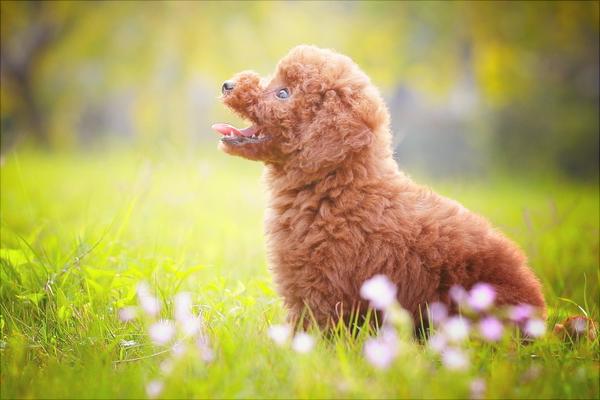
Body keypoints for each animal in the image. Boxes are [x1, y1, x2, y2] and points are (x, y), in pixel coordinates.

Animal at [213, 45, 548, 330]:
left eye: (283, 92)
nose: (227, 84)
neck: (334, 187)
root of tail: (540, 320)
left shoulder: (321, 286)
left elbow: (310, 335)